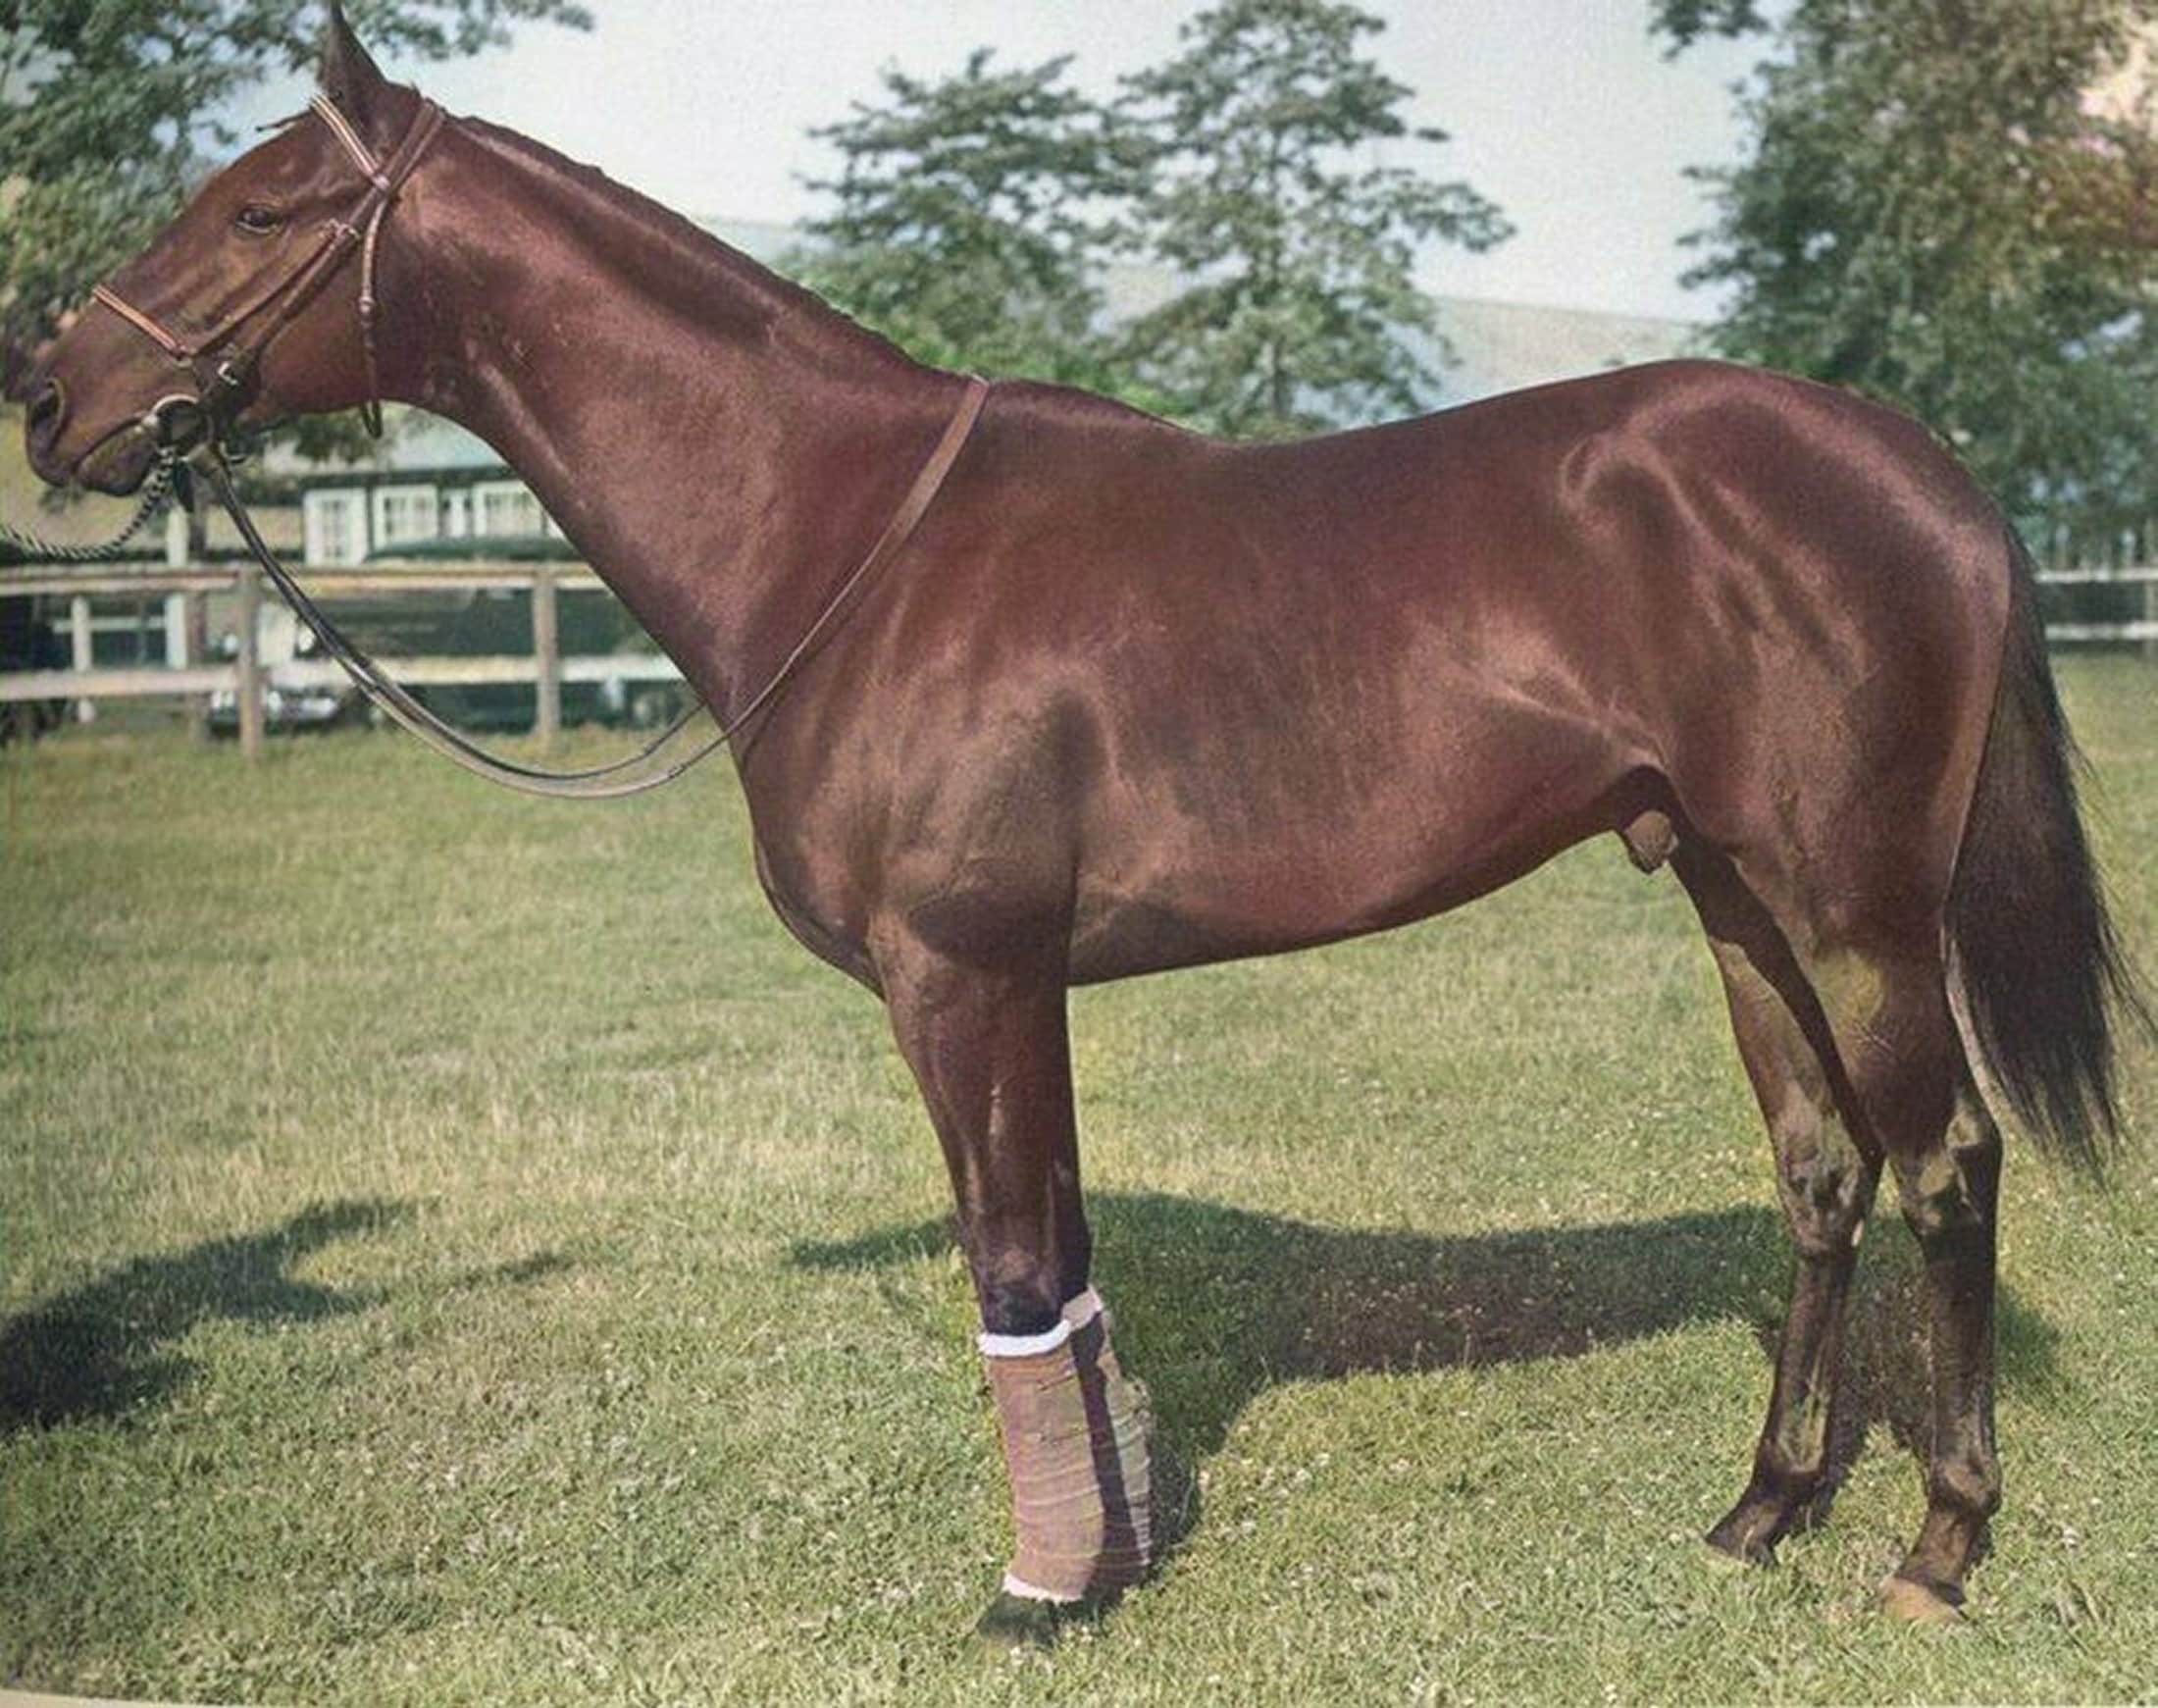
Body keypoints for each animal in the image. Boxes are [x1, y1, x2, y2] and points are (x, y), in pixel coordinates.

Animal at [22, 4, 2143, 1643]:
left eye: (263, 208)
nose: (53, 394)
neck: (846, 540)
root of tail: (1927, 477)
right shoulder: (1013, 984)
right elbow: (1061, 1255)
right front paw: (1114, 1549)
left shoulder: (958, 975)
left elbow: (1015, 1274)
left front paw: (1043, 1588)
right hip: (1726, 887)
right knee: (1820, 1172)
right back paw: (1761, 1508)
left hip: (1854, 908)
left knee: (1945, 1165)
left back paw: (1933, 1549)